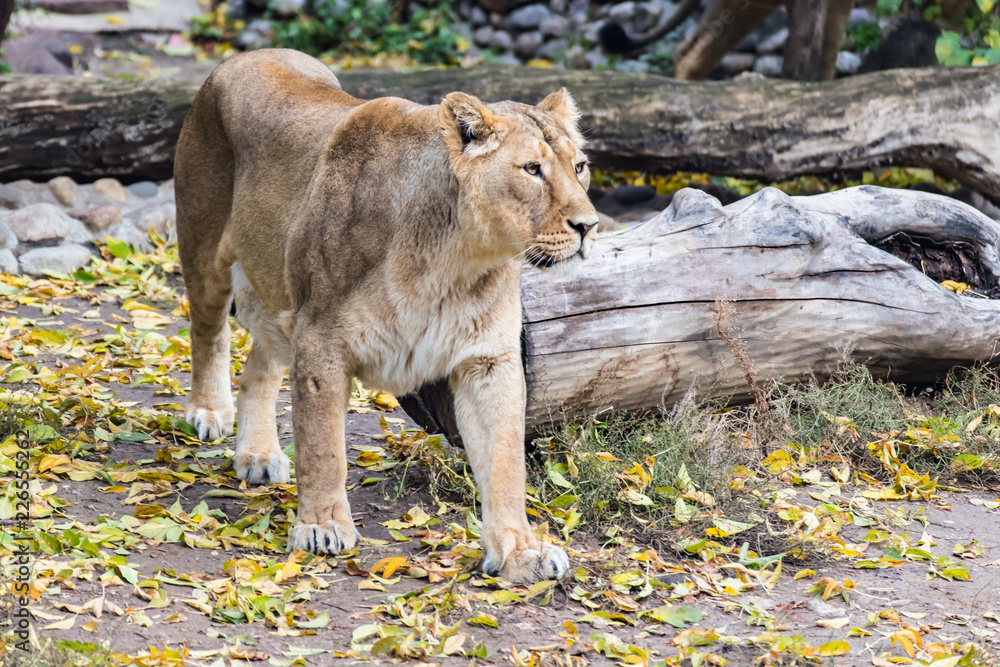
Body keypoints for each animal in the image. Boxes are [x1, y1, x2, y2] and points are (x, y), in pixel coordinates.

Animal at [173, 49, 599, 583]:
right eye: (532, 169)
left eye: (579, 166)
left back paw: (259, 453)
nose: (590, 226)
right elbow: (323, 447)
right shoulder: (322, 340)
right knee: (208, 331)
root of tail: (250, 54)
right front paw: (322, 527)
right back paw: (210, 410)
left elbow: (505, 463)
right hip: (207, 253)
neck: (454, 260)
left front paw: (521, 552)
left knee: (259, 367)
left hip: (282, 291)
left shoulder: (487, 361)